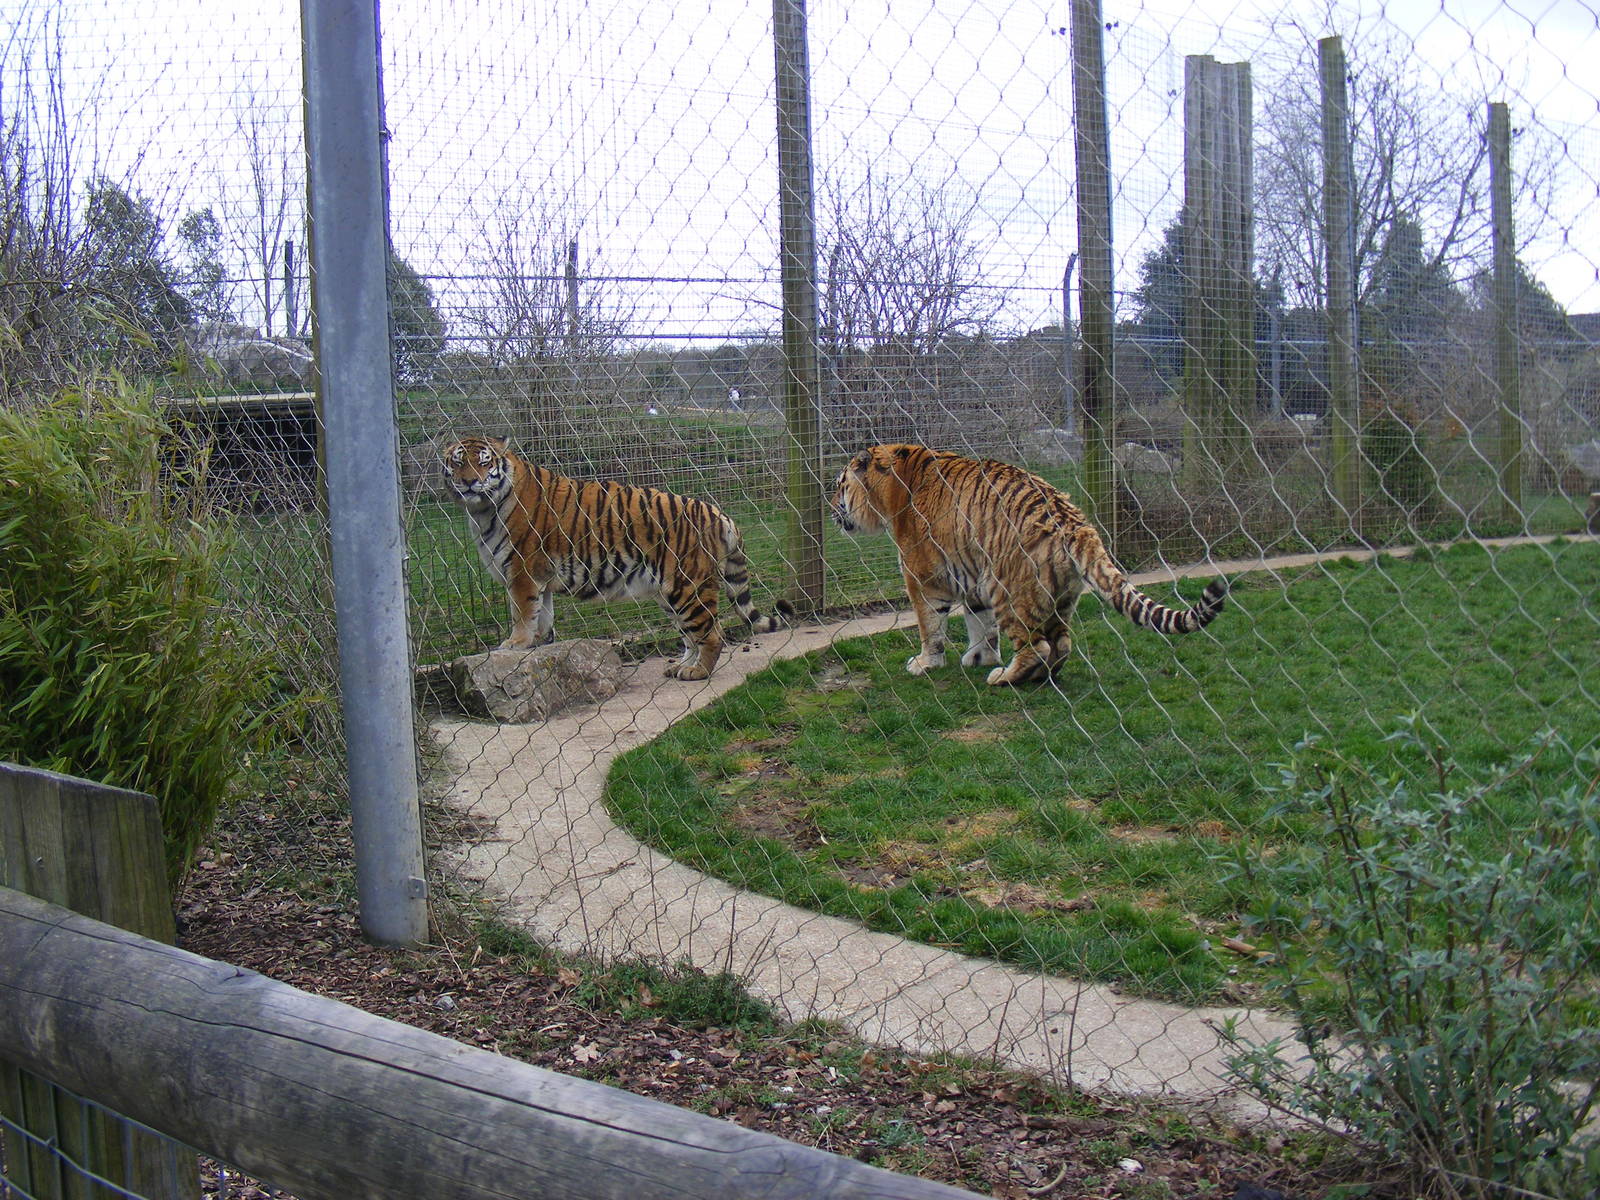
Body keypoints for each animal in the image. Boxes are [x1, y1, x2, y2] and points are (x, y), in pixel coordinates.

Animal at [441, 436, 792, 680]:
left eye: (484, 463)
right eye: (458, 463)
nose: (469, 481)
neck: (481, 509)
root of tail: (720, 513)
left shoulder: (523, 571)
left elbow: (523, 612)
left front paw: (515, 643)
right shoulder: (540, 575)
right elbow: (543, 614)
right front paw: (539, 643)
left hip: (689, 586)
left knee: (712, 634)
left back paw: (697, 672)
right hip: (669, 593)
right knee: (691, 636)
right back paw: (680, 667)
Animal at [831, 443, 1227, 686]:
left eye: (839, 484)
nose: (830, 506)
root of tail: (1076, 523)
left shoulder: (925, 577)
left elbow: (931, 627)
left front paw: (927, 663)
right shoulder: (972, 576)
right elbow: (980, 625)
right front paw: (980, 657)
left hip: (1009, 590)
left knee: (1037, 646)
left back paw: (1004, 678)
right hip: (1058, 596)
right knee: (1061, 643)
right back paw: (1040, 675)